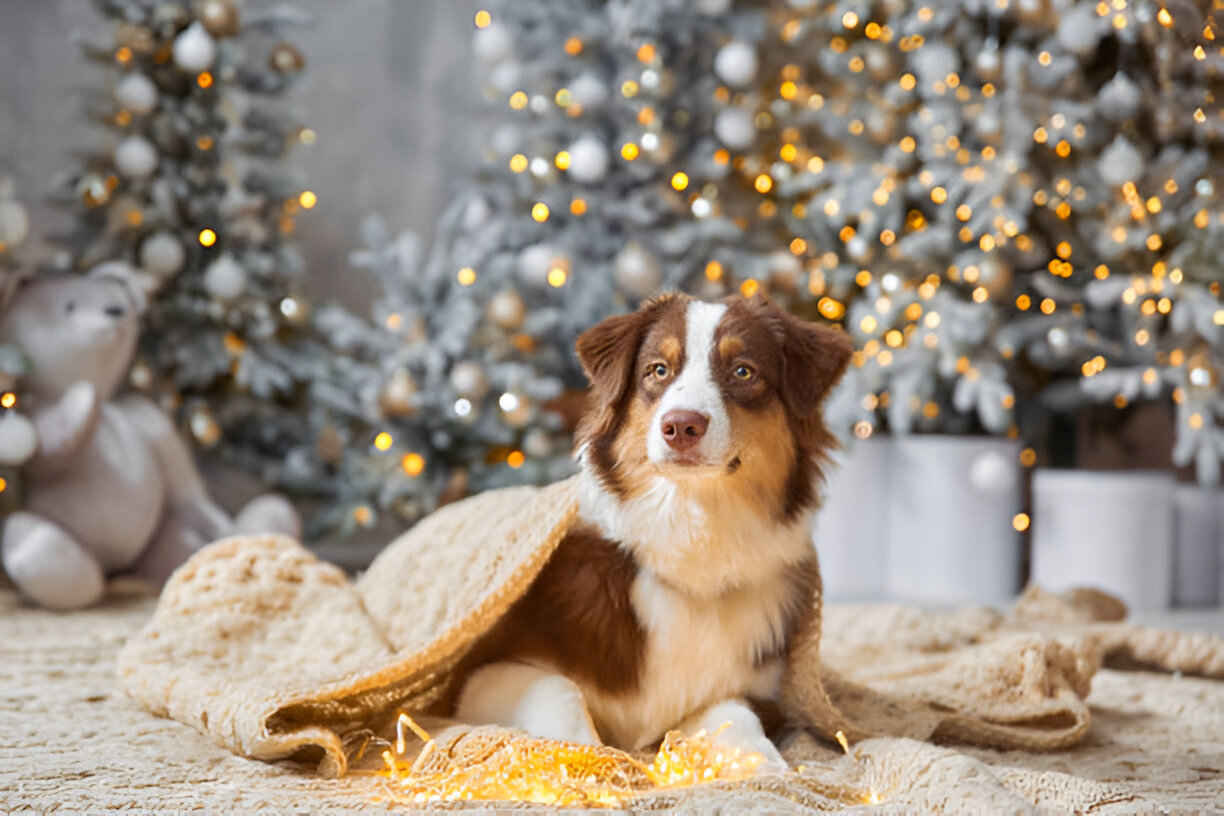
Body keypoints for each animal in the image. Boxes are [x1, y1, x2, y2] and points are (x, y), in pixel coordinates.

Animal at [457, 292, 851, 768]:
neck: (691, 532)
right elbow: (558, 689)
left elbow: (736, 716)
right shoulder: (478, 673)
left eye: (743, 371)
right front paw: (590, 758)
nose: (681, 426)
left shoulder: (739, 689)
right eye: (658, 370)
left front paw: (766, 764)